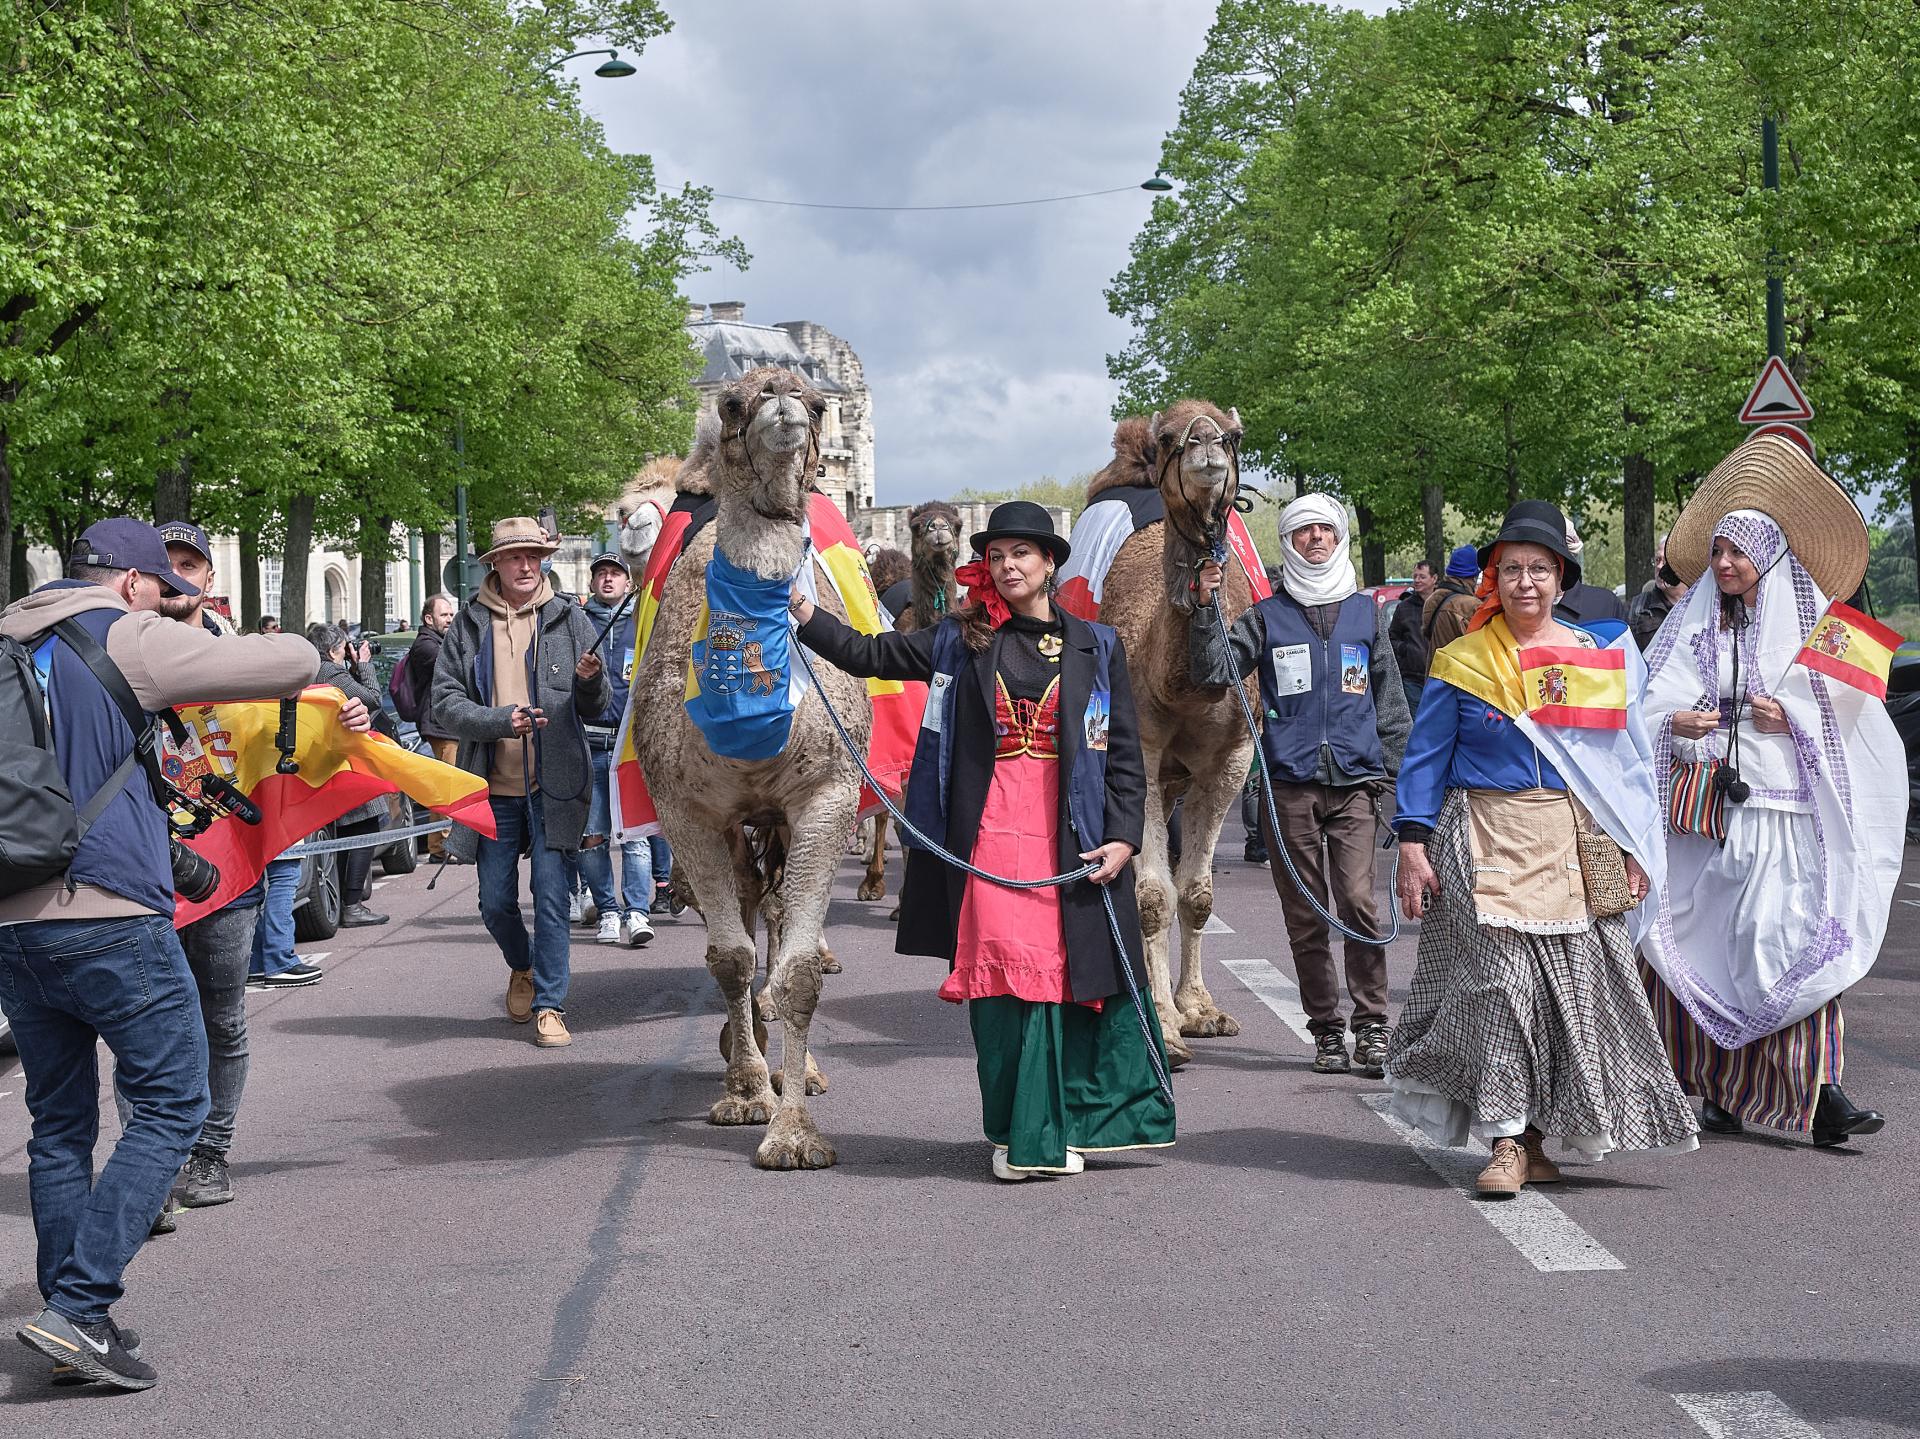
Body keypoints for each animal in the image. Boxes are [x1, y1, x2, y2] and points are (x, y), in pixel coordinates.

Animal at [633, 365, 867, 1160]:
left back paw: (802, 1066)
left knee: (774, 912)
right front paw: (746, 1094)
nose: (786, 408)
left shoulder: (827, 793)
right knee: (743, 907)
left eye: (819, 403)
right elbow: (729, 957)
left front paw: (795, 1131)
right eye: (735, 401)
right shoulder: (685, 808)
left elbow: (798, 969)